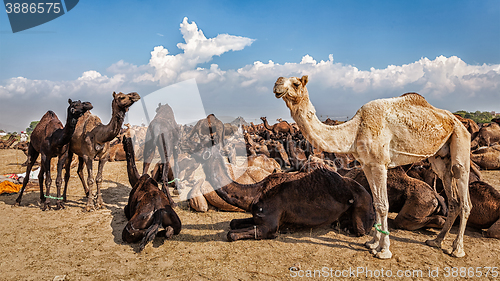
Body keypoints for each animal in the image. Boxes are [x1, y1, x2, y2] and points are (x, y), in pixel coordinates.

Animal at [193, 144, 374, 241]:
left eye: (203, 150)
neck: (256, 193)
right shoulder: (257, 216)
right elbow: (233, 222)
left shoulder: (268, 226)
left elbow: (231, 234)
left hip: (362, 209)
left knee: (361, 230)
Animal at [276, 75, 470, 258]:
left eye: (296, 83)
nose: (277, 85)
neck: (355, 130)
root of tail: (459, 121)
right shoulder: (367, 165)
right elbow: (376, 203)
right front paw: (372, 243)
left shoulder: (379, 164)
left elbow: (384, 205)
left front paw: (384, 250)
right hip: (440, 158)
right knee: (452, 197)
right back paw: (436, 241)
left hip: (461, 140)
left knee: (464, 196)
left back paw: (457, 249)